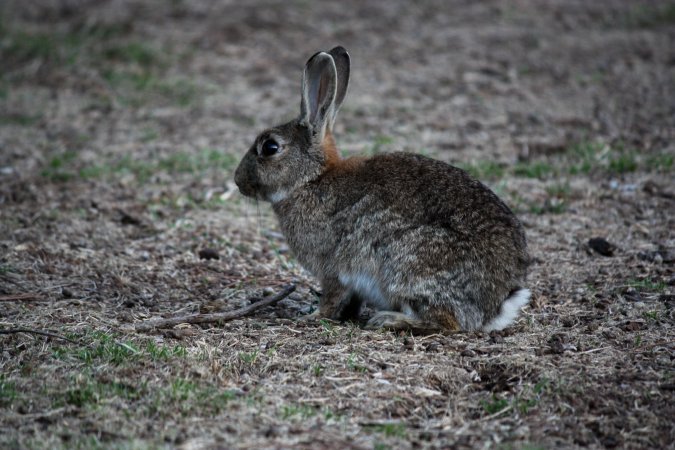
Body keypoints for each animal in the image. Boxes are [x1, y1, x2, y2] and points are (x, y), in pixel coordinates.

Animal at [234, 46, 531, 332]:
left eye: (270, 147)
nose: (238, 181)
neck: (311, 179)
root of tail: (498, 302)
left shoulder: (333, 269)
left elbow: (332, 298)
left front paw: (312, 317)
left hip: (410, 264)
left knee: (448, 323)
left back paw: (389, 320)